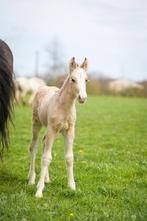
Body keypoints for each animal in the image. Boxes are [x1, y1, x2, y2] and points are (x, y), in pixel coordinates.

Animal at [27, 57, 88, 197]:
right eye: (73, 79)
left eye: (86, 80)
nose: (82, 98)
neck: (64, 107)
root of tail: (42, 88)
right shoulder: (52, 129)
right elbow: (46, 158)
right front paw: (39, 191)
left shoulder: (69, 130)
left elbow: (69, 158)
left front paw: (72, 186)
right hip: (36, 123)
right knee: (34, 147)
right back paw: (32, 179)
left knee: (44, 144)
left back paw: (46, 179)